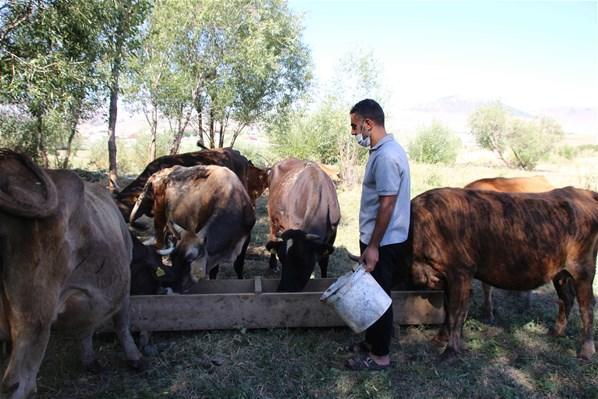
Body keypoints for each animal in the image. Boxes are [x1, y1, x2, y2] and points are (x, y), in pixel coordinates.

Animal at [0, 150, 145, 399]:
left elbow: (87, 324)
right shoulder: (122, 286)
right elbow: (119, 322)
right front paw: (134, 357)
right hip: (34, 316)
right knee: (18, 383)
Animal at [264, 159, 340, 294]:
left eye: (302, 260)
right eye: (281, 258)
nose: (283, 290)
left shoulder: (333, 234)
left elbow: (324, 262)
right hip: (272, 217)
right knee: (272, 236)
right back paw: (272, 265)